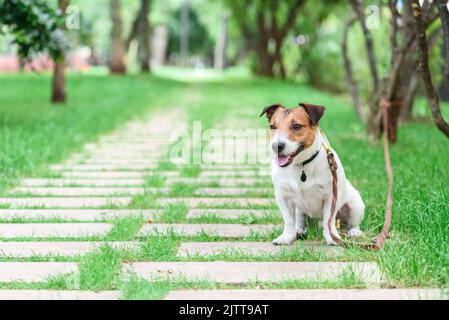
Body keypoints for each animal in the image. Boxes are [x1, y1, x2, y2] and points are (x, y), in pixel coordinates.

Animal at [260, 102, 364, 245]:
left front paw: (332, 238)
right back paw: (299, 230)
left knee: (352, 223)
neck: (301, 165)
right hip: (299, 209)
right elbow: (289, 221)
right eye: (272, 126)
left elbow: (329, 221)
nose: (277, 146)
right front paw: (286, 237)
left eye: (297, 126)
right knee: (299, 220)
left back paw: (354, 232)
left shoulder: (330, 197)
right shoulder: (283, 196)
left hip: (356, 205)